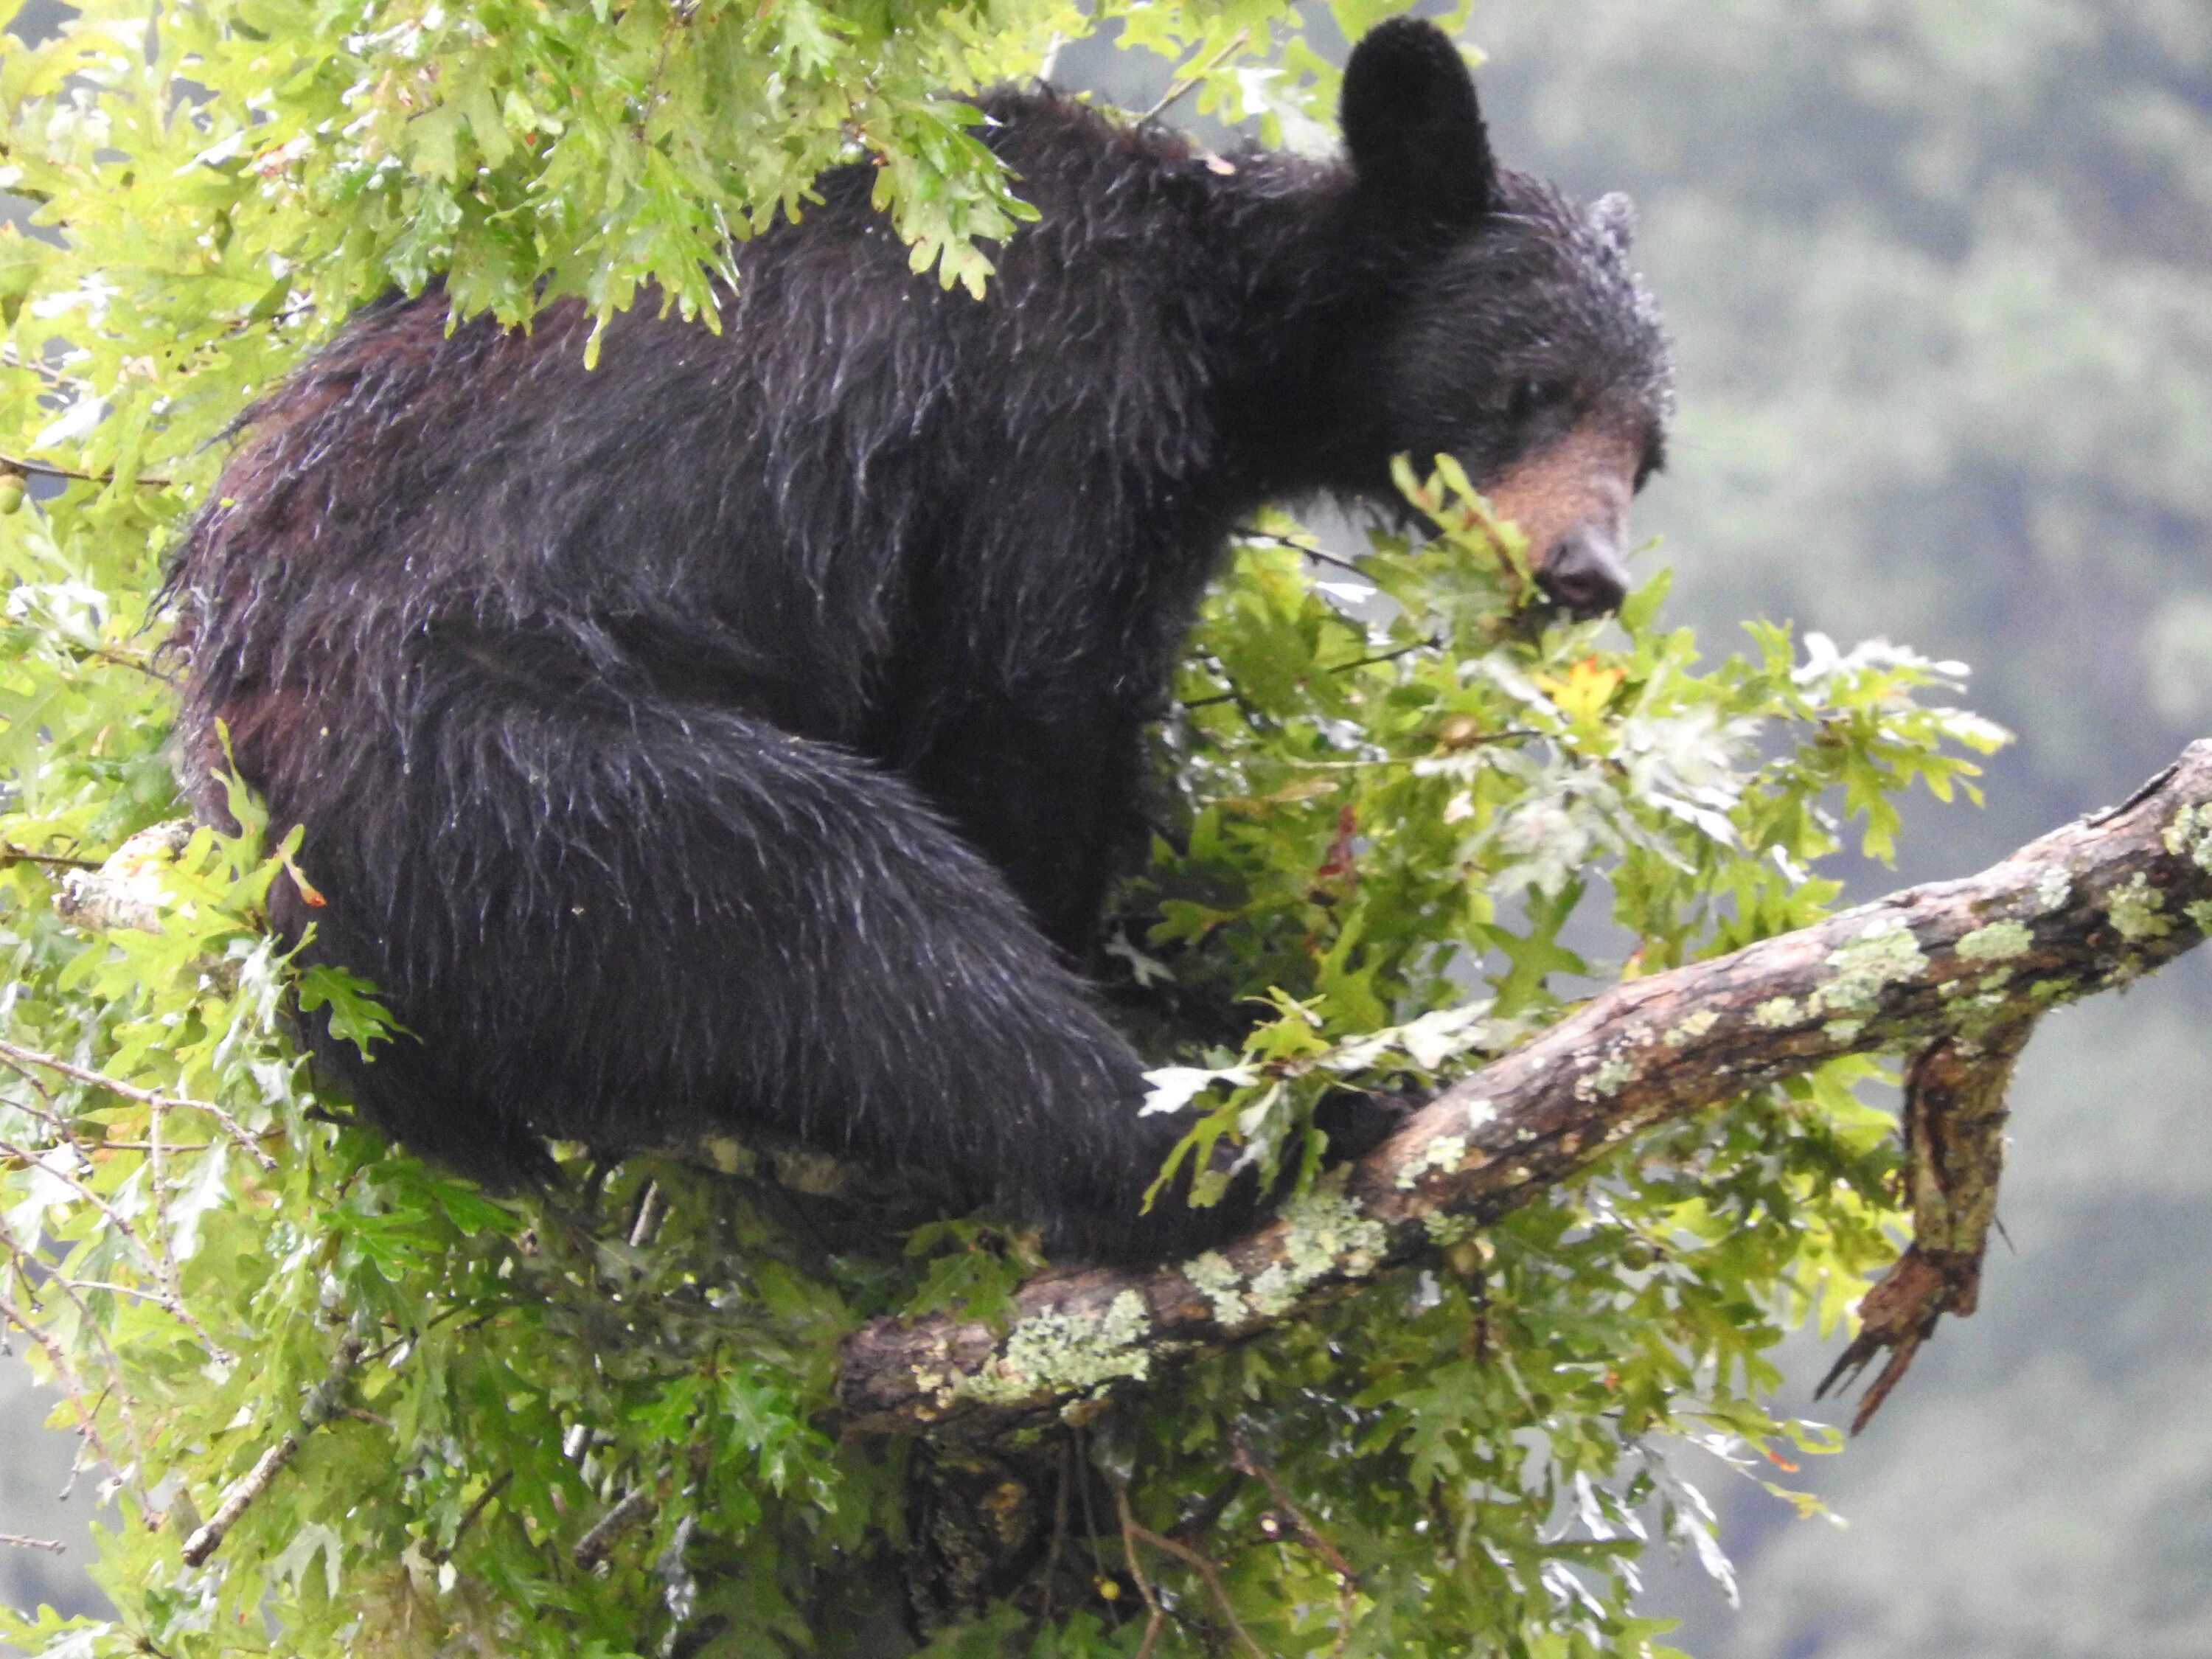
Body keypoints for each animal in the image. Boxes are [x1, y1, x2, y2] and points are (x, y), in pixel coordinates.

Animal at [164, 19, 1663, 1265]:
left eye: (1647, 452)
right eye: (1536, 387)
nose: (1587, 573)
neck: (1221, 322)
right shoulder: (1054, 398)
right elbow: (1016, 707)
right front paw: (1154, 989)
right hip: (499, 765)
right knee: (842, 901)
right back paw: (1211, 1144)